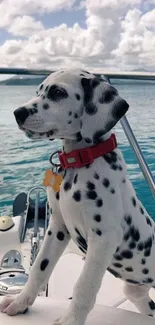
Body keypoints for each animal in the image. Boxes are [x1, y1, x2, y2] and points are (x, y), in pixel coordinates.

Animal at [0, 69, 154, 322]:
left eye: (58, 92)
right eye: (38, 91)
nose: (17, 113)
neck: (80, 161)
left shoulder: (104, 239)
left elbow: (84, 286)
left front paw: (70, 321)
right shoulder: (57, 228)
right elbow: (39, 268)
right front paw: (20, 302)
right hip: (135, 292)